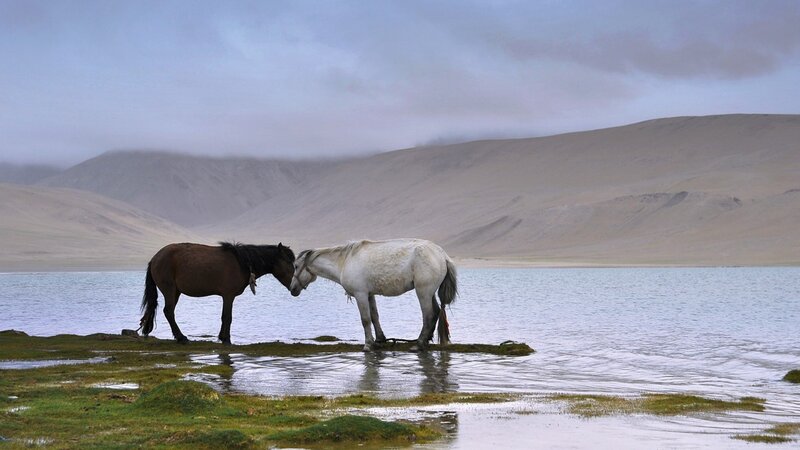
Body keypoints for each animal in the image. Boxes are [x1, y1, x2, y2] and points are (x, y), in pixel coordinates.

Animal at [138, 242, 295, 344]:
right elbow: (227, 317)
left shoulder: (227, 296)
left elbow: (225, 317)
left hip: (176, 291)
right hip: (169, 290)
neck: (242, 263)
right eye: (288, 262)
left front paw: (222, 337)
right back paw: (181, 337)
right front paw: (226, 339)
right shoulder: (228, 296)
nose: (295, 287)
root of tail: (154, 259)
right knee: (169, 311)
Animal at [290, 238, 457, 352]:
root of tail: (443, 255)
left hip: (423, 292)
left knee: (428, 315)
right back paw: (426, 340)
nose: (292, 289)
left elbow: (365, 320)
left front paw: (368, 344)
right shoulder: (369, 295)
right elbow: (374, 317)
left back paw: (420, 344)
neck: (344, 262)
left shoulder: (361, 295)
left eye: (296, 266)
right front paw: (379, 339)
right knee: (435, 312)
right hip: (429, 293)